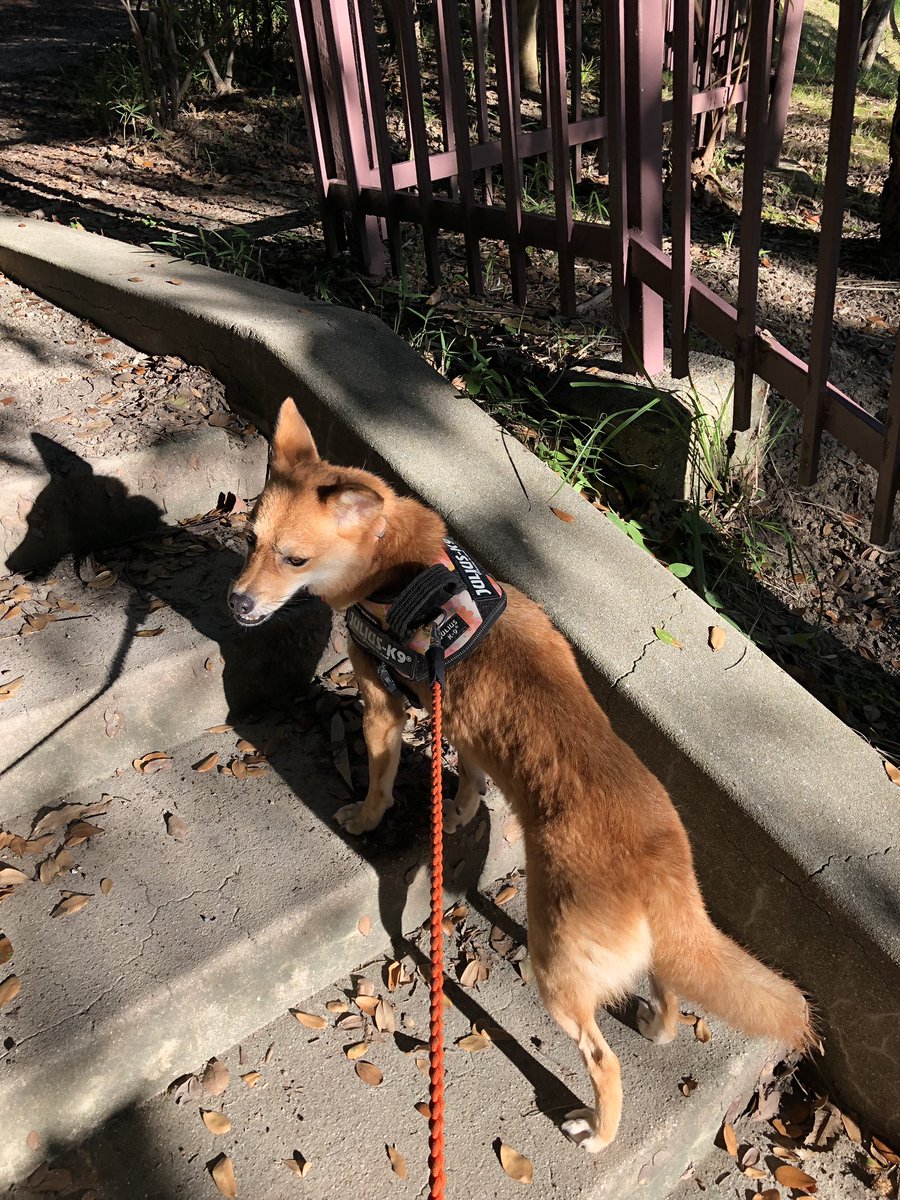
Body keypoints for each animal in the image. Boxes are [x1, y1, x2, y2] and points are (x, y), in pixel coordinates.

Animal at [229, 400, 816, 1152]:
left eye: (293, 559)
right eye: (250, 540)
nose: (238, 604)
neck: (402, 571)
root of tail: (660, 868)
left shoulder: (384, 706)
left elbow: (382, 782)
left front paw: (364, 816)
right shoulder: (467, 725)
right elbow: (472, 779)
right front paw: (458, 811)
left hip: (554, 969)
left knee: (603, 1059)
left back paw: (597, 1129)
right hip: (641, 954)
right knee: (668, 989)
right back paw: (656, 1027)